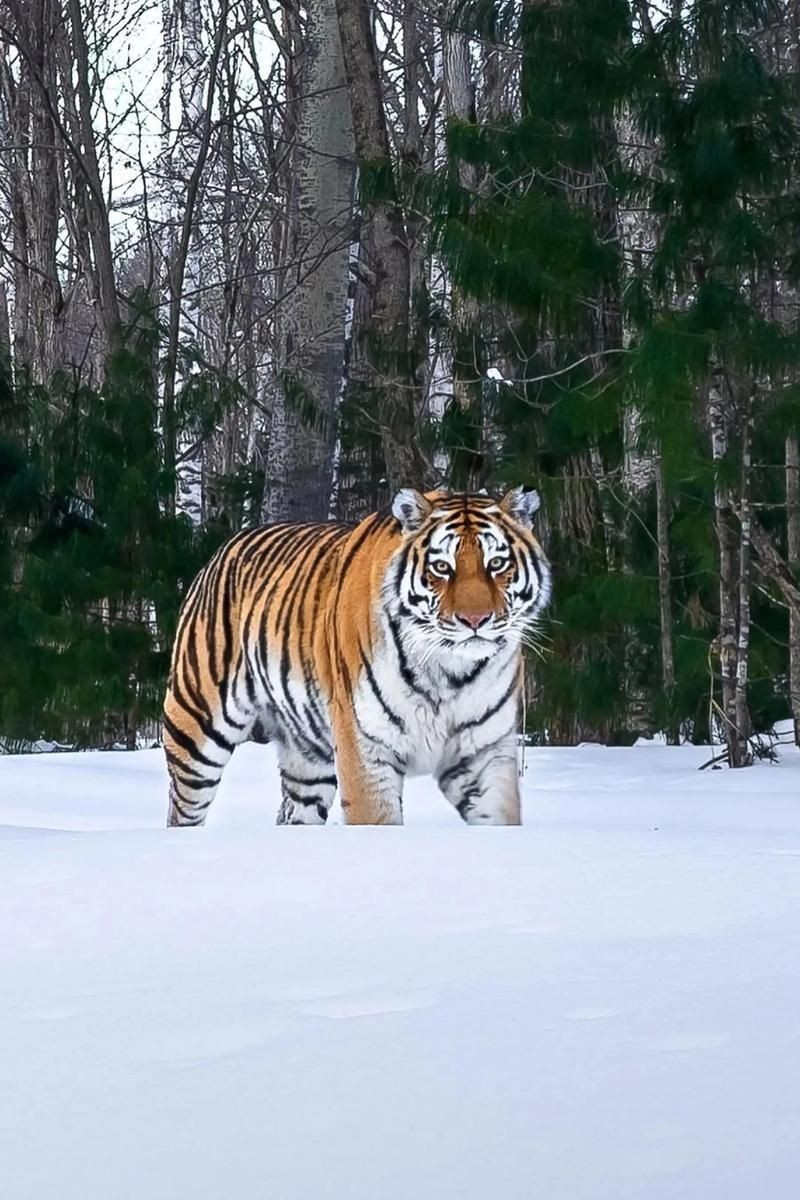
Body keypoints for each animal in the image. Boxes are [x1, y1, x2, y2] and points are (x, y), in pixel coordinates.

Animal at [163, 487, 551, 827]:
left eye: (497, 563)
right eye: (442, 567)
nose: (475, 620)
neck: (449, 671)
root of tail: (223, 548)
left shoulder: (484, 753)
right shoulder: (364, 749)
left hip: (308, 760)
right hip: (195, 729)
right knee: (182, 812)